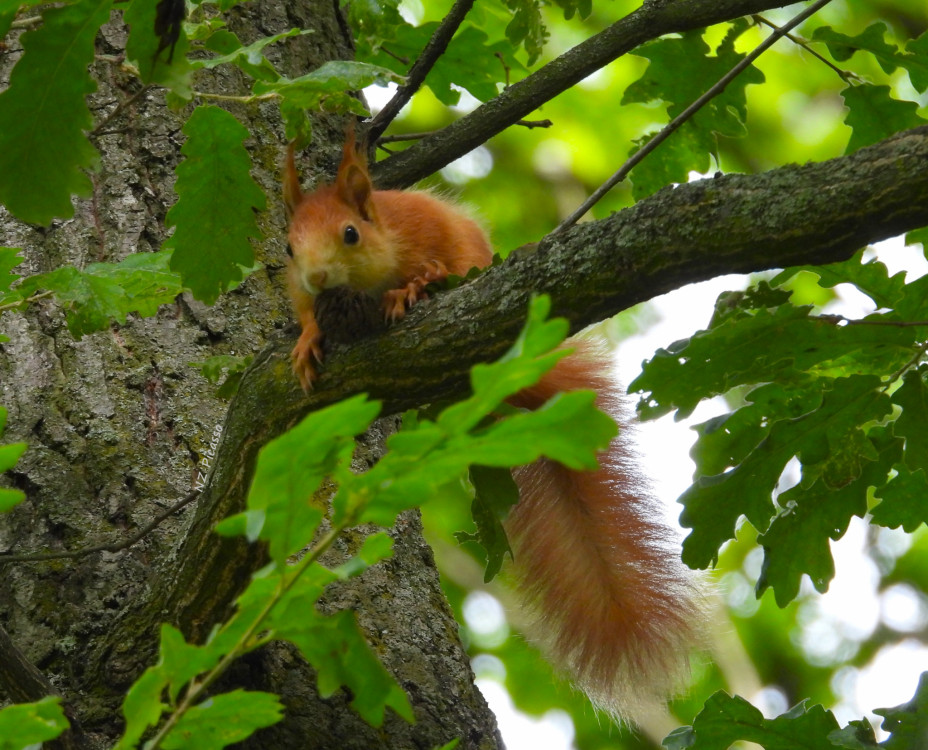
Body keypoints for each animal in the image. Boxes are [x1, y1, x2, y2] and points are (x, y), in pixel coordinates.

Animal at [286, 132, 700, 720]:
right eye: (288, 249)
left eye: (350, 233)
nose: (318, 276)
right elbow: (306, 313)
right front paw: (307, 340)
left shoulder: (430, 229)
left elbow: (440, 261)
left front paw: (411, 287)